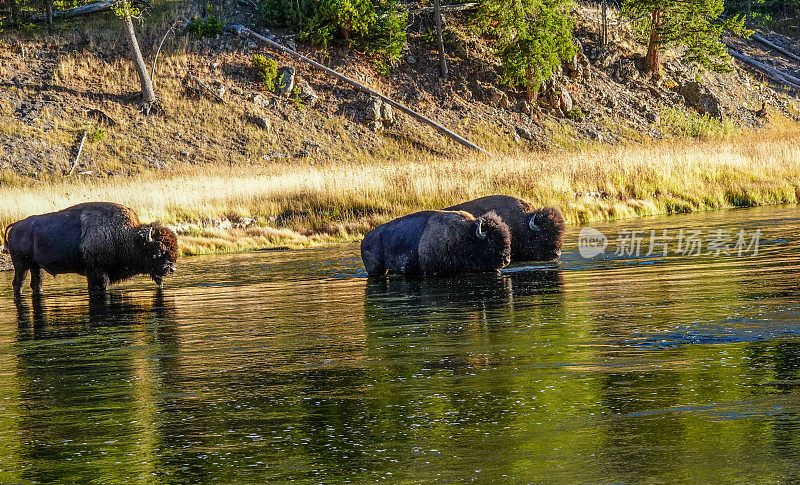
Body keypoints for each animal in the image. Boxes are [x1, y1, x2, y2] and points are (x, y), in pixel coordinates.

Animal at [5, 200, 178, 294]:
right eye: (158, 251)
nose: (170, 269)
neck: (127, 236)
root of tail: (15, 226)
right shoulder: (97, 272)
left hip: (36, 267)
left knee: (36, 284)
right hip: (21, 265)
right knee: (18, 283)